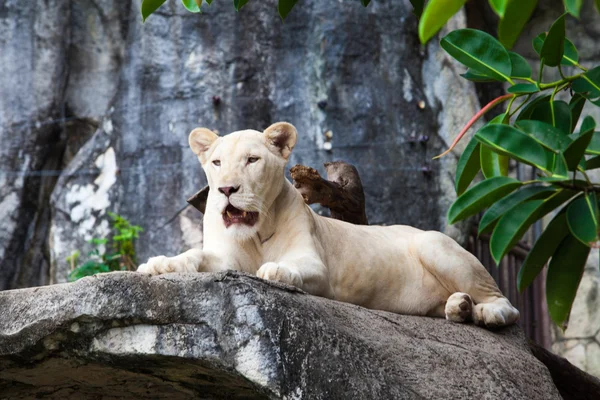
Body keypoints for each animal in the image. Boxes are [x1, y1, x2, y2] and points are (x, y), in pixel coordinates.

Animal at [137, 122, 520, 328]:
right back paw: (459, 307)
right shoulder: (225, 258)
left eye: (252, 160)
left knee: (507, 303)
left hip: (434, 245)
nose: (227, 190)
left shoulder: (318, 267)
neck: (255, 233)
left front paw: (275, 271)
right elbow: (195, 257)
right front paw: (159, 264)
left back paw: (486, 312)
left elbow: (290, 268)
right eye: (216, 162)